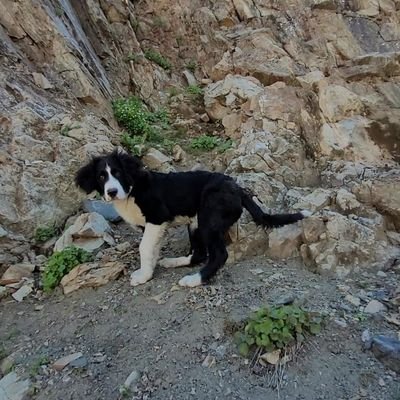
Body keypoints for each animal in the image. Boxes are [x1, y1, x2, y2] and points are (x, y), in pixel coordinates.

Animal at [75, 150, 308, 288]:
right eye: (101, 177)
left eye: (117, 173)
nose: (112, 192)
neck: (132, 190)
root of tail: (238, 188)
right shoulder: (150, 226)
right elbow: (151, 249)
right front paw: (148, 271)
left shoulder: (157, 218)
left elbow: (144, 247)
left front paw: (143, 276)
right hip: (195, 222)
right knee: (198, 254)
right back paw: (174, 262)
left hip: (208, 219)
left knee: (219, 255)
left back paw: (195, 279)